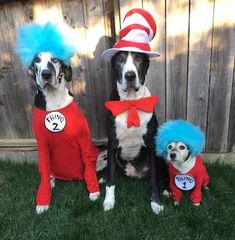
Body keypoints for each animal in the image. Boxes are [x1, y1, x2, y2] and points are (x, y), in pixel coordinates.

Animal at [102, 8, 168, 215]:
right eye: (120, 60)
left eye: (139, 59)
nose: (130, 76)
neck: (130, 102)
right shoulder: (112, 143)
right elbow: (111, 180)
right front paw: (109, 200)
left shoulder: (152, 144)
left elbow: (155, 180)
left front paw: (156, 202)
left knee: (163, 176)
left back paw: (167, 191)